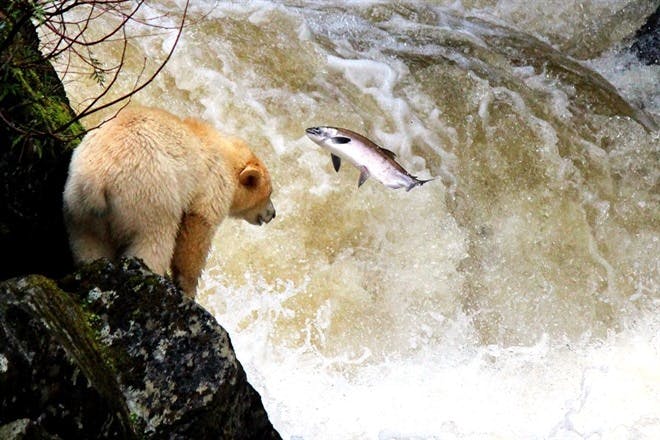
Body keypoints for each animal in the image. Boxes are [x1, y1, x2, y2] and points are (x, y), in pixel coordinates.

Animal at [63, 105, 275, 297]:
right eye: (269, 194)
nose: (272, 214)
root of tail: (99, 181)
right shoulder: (212, 185)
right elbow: (197, 230)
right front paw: (188, 288)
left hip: (79, 204)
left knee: (88, 242)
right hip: (150, 198)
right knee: (155, 242)